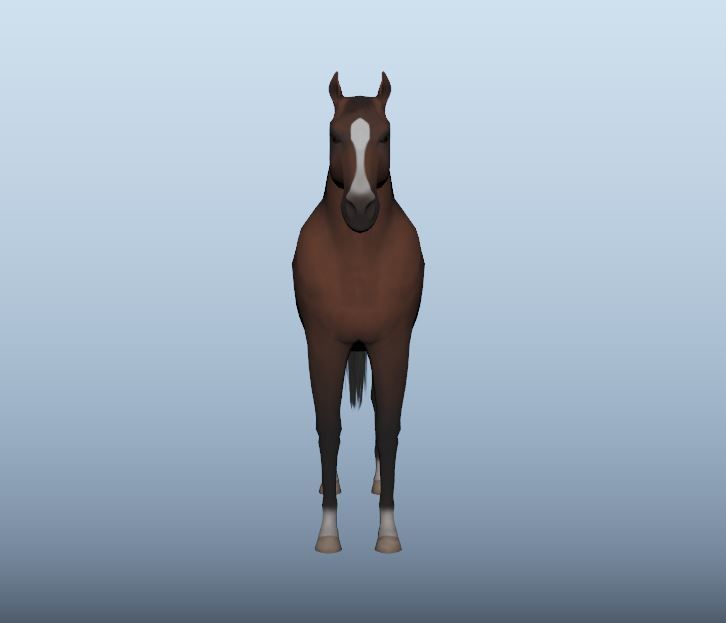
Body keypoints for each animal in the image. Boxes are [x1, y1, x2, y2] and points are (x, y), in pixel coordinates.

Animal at [292, 72, 425, 553]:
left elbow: (387, 428)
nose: (361, 208)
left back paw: (377, 481)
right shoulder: (323, 345)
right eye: (335, 135)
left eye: (385, 135)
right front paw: (328, 532)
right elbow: (328, 429)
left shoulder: (393, 345)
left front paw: (388, 532)